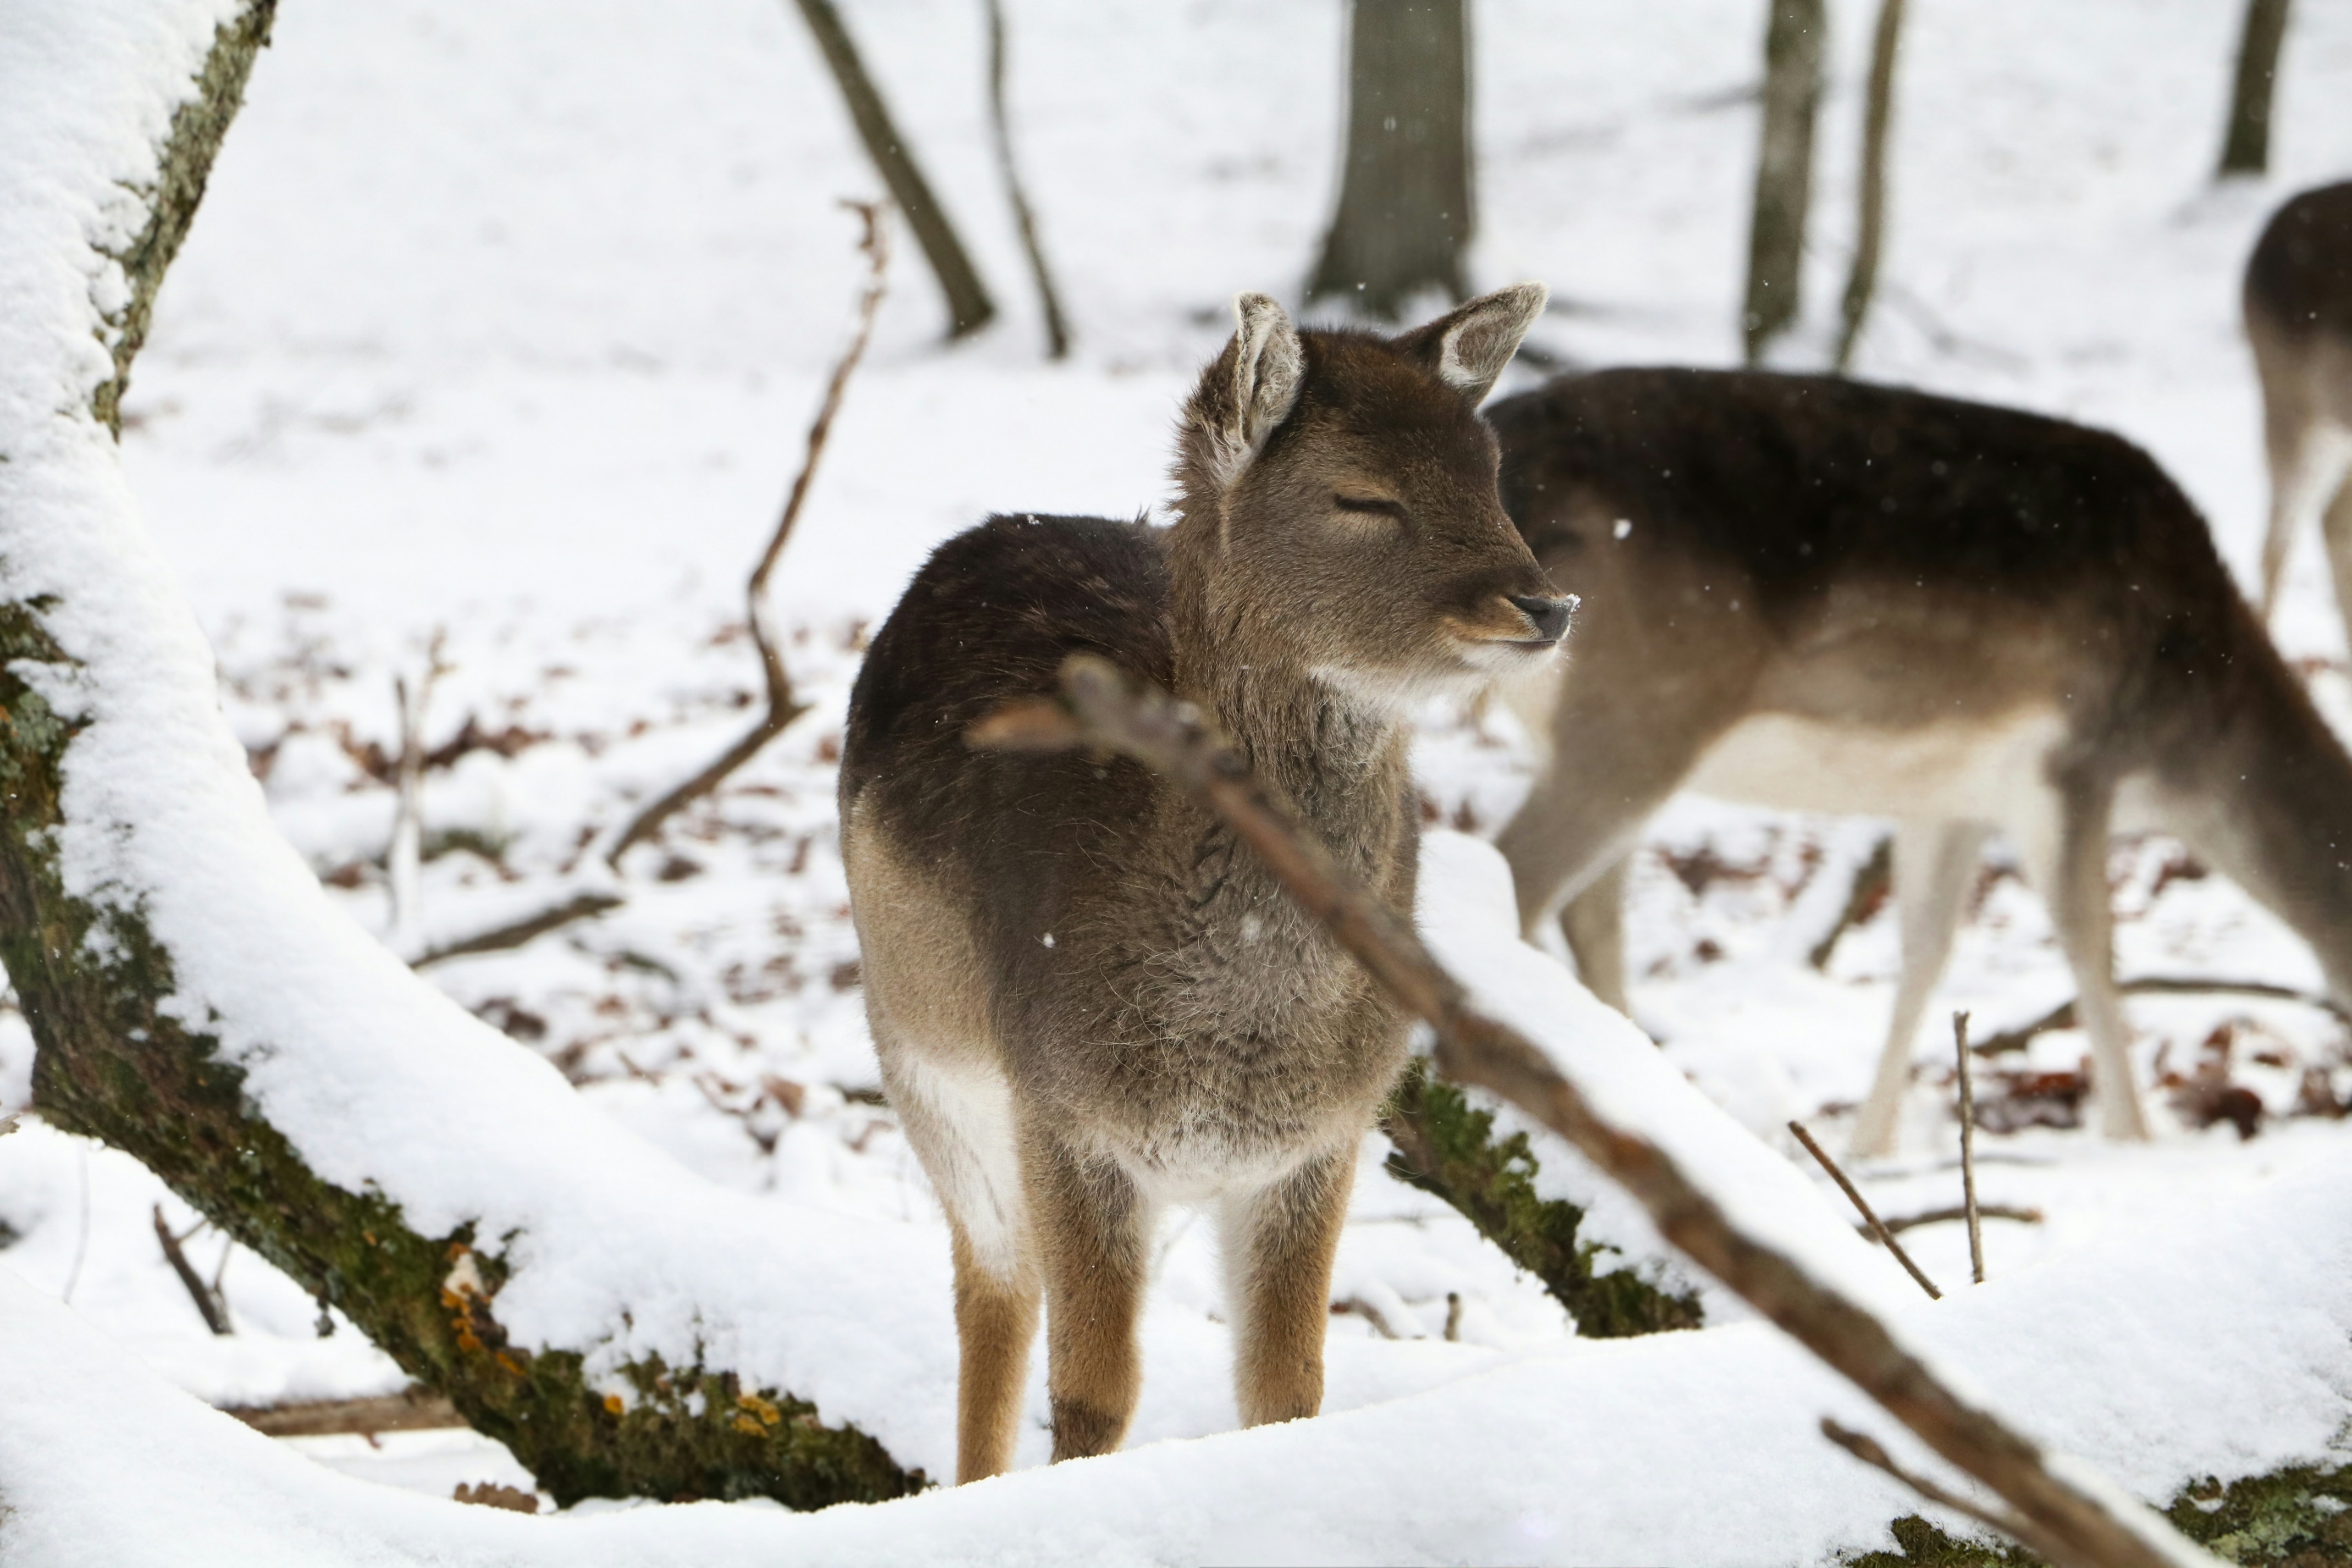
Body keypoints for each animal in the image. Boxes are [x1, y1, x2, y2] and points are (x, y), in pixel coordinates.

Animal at [836, 285, 1571, 1485]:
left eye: (1491, 470)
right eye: (1362, 495)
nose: (1544, 604)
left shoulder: (1322, 1136)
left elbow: (1287, 1386)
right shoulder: (1063, 1112)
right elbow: (1093, 1392)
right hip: (920, 1054)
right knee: (992, 1284)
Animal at [1486, 364, 2352, 1151]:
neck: (2191, 740)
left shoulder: (1953, 800)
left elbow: (1927, 951)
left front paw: (1869, 1147)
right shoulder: (2075, 764)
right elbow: (2091, 947)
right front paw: (2136, 1141)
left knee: (1589, 910)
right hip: (1637, 717)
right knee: (1518, 872)